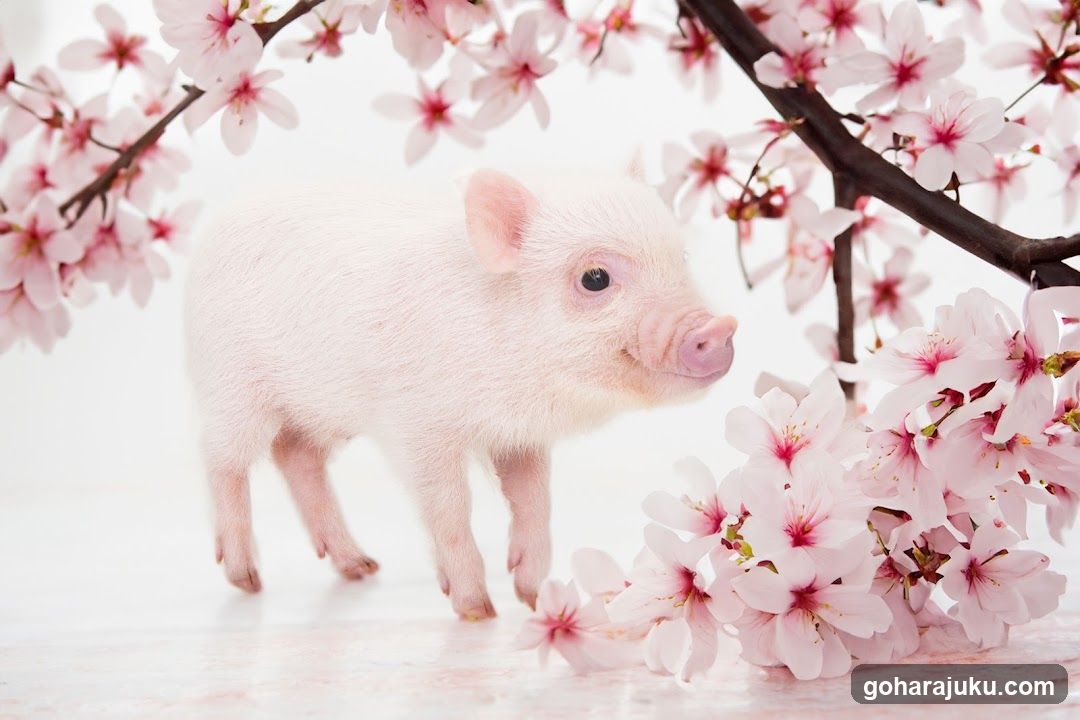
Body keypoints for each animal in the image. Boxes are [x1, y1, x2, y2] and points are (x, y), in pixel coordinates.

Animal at [184, 167, 737, 619]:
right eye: (595, 278)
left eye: (682, 259)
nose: (718, 327)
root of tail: (215, 228)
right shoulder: (418, 427)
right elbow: (449, 507)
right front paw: (477, 610)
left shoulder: (520, 436)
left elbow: (534, 500)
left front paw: (530, 595)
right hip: (230, 382)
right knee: (221, 458)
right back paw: (247, 579)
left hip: (316, 406)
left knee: (294, 453)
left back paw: (361, 568)